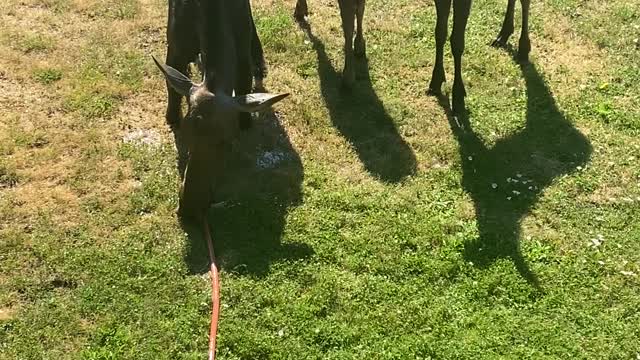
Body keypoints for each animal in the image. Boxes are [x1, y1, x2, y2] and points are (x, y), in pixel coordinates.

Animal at [155, 0, 288, 222]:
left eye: (227, 143)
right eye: (185, 135)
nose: (190, 209)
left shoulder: (241, 58)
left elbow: (244, 87)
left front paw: (246, 121)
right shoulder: (175, 48)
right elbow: (171, 85)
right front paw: (171, 117)